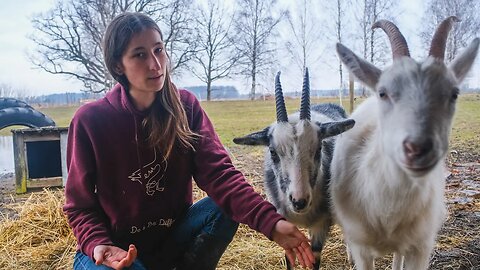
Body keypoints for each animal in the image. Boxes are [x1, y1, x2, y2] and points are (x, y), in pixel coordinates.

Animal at [234, 68, 354, 268]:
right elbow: (289, 257)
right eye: (272, 151)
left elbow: (315, 259)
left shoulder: (321, 224)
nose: (299, 201)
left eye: (319, 148)